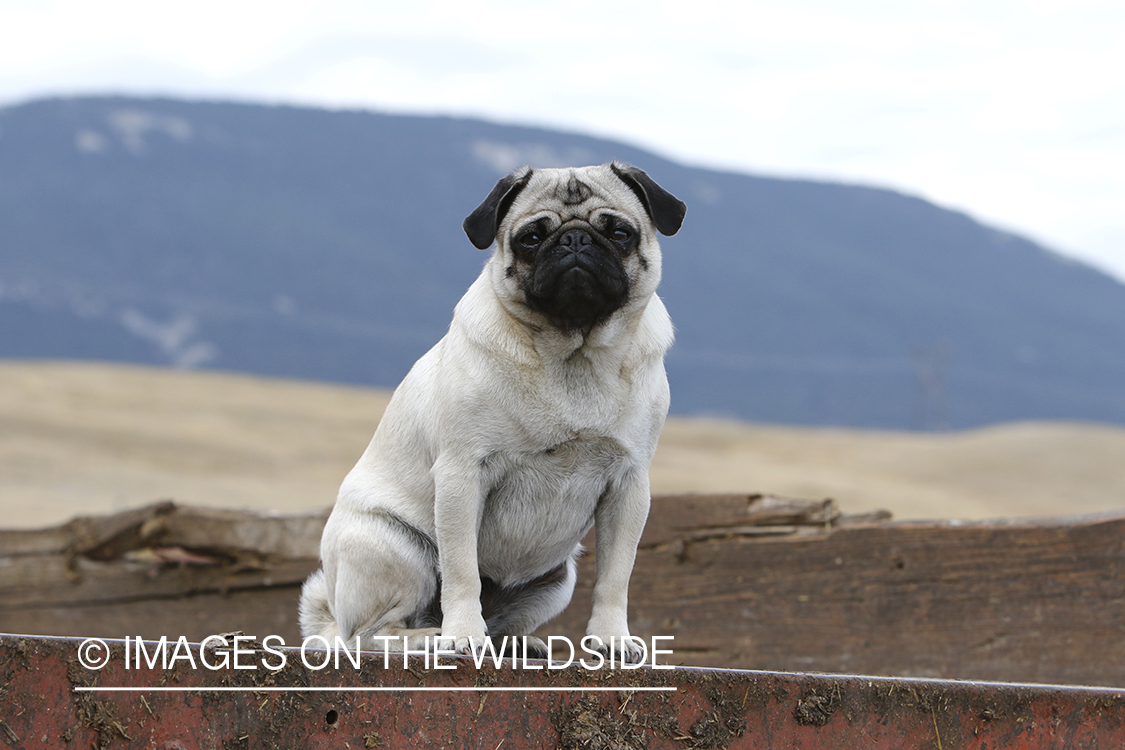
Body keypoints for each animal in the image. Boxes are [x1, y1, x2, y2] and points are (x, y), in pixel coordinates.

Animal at [299, 161, 684, 661]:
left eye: (619, 233)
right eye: (531, 238)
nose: (575, 241)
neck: (572, 356)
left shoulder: (629, 485)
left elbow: (616, 577)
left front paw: (611, 639)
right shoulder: (462, 474)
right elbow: (462, 569)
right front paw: (463, 634)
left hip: (560, 578)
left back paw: (518, 642)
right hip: (395, 547)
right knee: (368, 633)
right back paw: (427, 636)